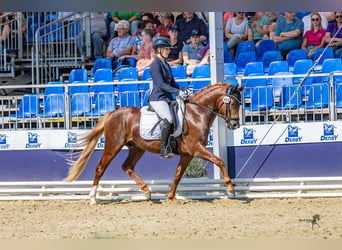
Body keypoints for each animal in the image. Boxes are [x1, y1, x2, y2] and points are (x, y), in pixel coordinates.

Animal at [62, 83, 242, 204]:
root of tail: (111, 113)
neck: (196, 115)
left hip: (137, 148)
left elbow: (178, 174)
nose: (235, 125)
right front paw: (230, 189)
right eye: (232, 103)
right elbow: (219, 160)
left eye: (240, 104)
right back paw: (93, 198)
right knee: (100, 167)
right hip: (113, 146)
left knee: (127, 166)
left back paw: (147, 191)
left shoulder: (187, 154)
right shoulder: (197, 149)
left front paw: (171, 197)